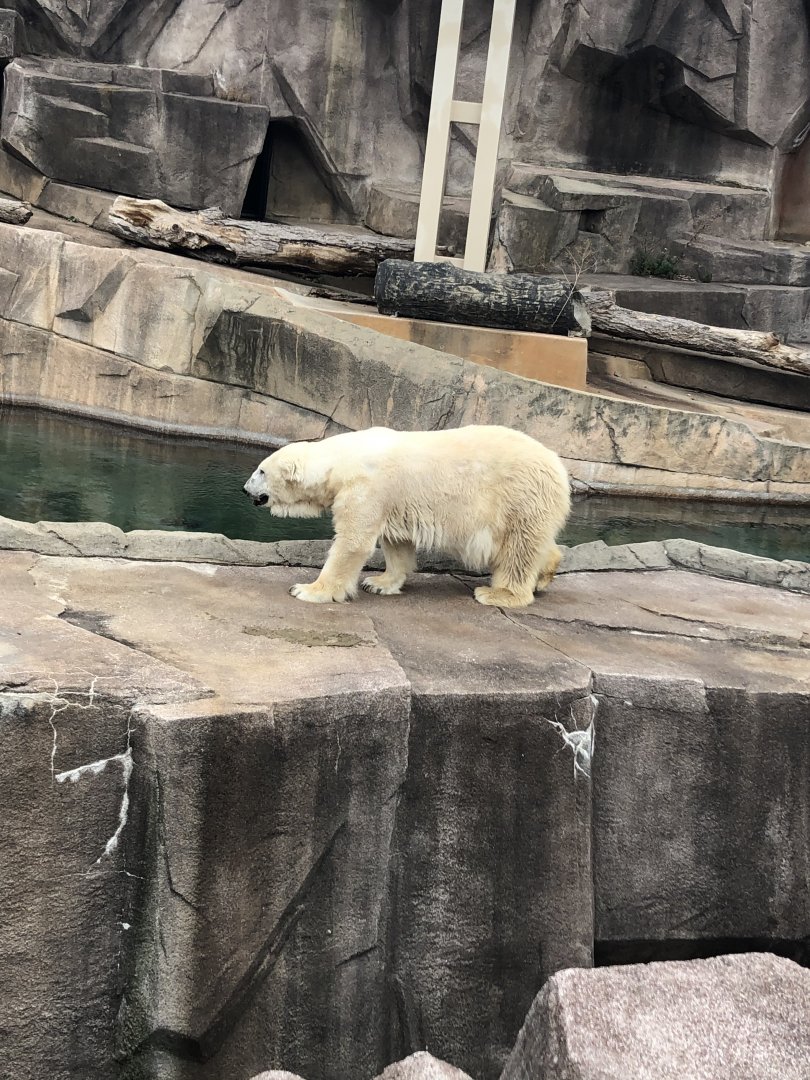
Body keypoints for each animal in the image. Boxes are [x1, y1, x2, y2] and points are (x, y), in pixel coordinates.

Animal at [242, 425, 570, 608]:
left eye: (261, 470)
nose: (245, 489)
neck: (341, 461)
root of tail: (559, 468)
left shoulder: (366, 487)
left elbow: (353, 542)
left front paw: (308, 590)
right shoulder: (393, 500)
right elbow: (397, 543)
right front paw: (379, 582)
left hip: (518, 497)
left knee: (518, 548)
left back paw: (499, 594)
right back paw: (544, 576)